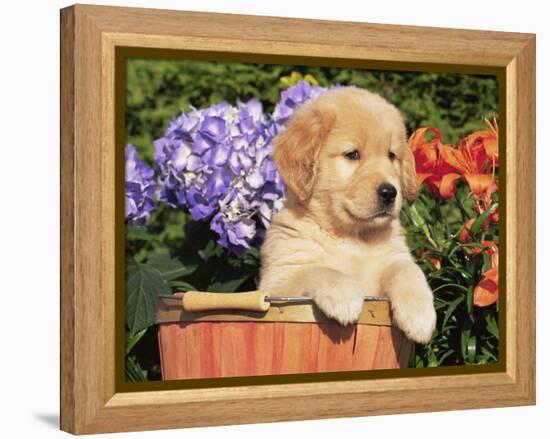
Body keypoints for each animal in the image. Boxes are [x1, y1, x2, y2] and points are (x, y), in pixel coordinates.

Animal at [260, 87, 438, 346]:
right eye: (352, 154)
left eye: (391, 155)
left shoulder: (394, 258)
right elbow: (317, 270)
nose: (389, 192)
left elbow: (409, 271)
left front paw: (420, 316)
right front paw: (344, 296)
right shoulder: (277, 282)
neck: (353, 236)